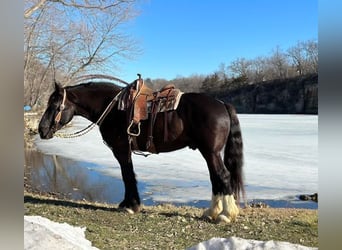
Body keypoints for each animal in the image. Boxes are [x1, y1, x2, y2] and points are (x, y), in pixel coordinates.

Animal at [38, 76, 244, 223]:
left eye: (55, 105)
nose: (41, 130)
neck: (113, 109)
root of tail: (221, 104)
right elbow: (128, 175)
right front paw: (130, 204)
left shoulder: (121, 150)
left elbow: (127, 175)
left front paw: (130, 205)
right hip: (209, 152)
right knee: (215, 178)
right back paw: (212, 212)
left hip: (211, 152)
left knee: (223, 176)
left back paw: (225, 215)